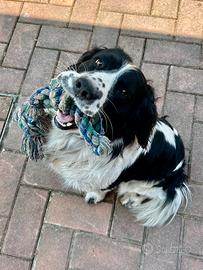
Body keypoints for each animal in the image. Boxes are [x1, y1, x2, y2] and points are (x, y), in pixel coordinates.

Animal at [43, 47, 190, 227]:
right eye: (98, 61)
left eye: (123, 92)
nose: (84, 87)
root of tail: (180, 171)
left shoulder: (112, 178)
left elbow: (102, 188)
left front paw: (94, 196)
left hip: (148, 184)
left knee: (153, 194)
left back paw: (131, 199)